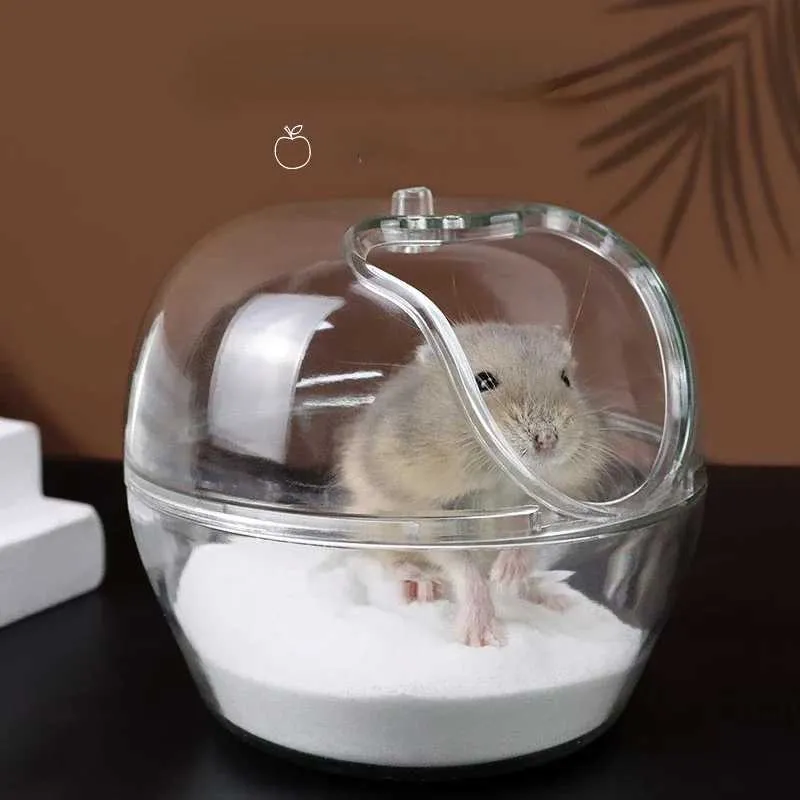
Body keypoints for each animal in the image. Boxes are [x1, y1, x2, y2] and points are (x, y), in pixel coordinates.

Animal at [336, 321, 611, 647]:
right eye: (483, 381)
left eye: (566, 378)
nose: (547, 439)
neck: (499, 478)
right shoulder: (433, 517)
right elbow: (464, 568)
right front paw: (481, 638)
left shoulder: (557, 502)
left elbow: (531, 538)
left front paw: (505, 575)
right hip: (374, 522)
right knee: (389, 558)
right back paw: (422, 584)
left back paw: (550, 599)